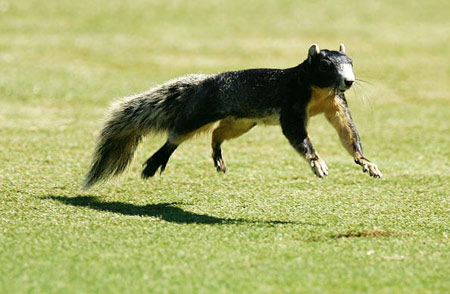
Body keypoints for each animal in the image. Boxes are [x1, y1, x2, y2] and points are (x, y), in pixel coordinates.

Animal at [82, 44, 382, 189]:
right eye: (325, 65)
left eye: (351, 62)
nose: (349, 81)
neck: (319, 92)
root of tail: (204, 83)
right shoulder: (292, 104)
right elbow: (298, 135)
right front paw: (316, 162)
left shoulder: (336, 104)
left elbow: (348, 132)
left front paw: (365, 161)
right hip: (201, 111)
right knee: (177, 135)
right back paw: (156, 161)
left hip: (242, 122)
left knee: (217, 134)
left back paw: (218, 157)